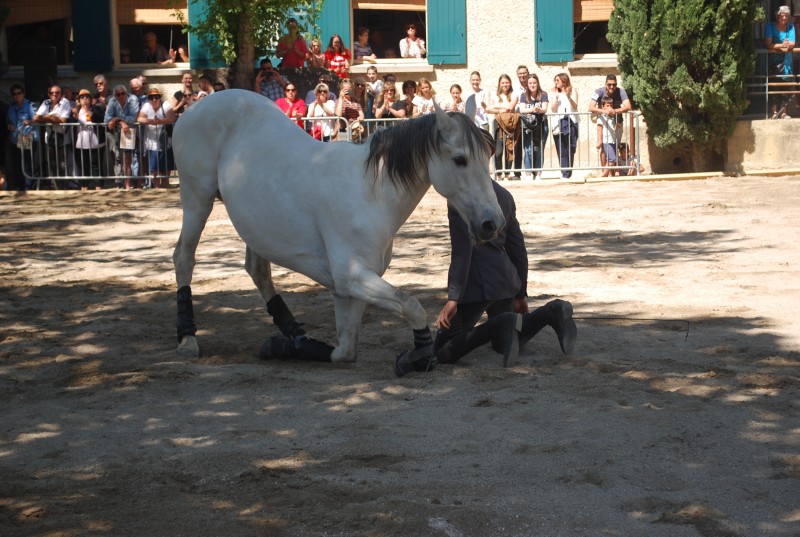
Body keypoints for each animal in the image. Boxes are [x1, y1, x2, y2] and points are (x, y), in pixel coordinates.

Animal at [172, 89, 504, 372]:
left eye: (488, 155)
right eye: (459, 159)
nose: (493, 223)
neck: (371, 194)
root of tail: (196, 107)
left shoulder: (349, 291)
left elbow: (344, 352)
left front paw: (288, 346)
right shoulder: (352, 277)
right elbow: (411, 305)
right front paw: (420, 355)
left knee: (257, 269)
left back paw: (292, 331)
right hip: (198, 199)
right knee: (184, 258)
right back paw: (187, 340)